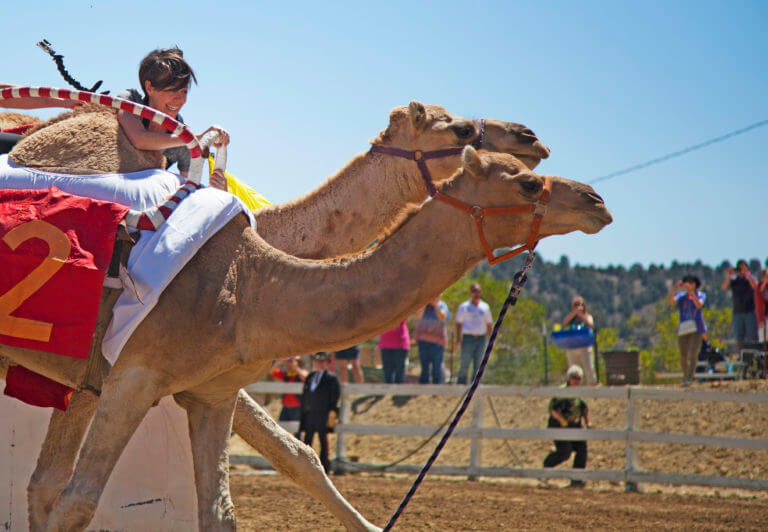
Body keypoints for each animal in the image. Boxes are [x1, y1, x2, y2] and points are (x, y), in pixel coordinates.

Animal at [1, 140, 612, 528]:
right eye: (527, 182)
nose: (596, 201)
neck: (248, 287)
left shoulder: (210, 395)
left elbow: (223, 510)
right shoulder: (134, 377)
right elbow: (78, 503)